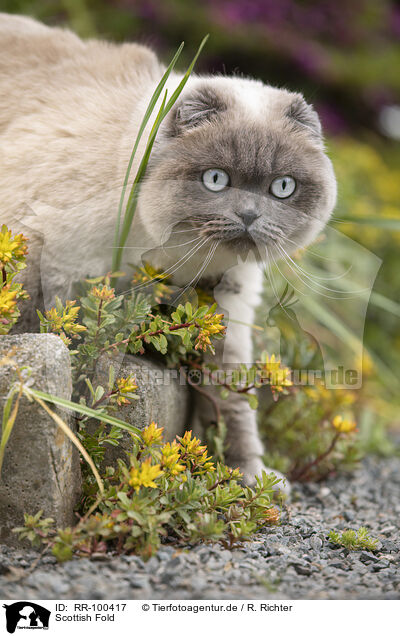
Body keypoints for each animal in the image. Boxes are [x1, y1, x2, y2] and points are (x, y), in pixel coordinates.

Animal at [0, 14, 338, 492]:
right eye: (216, 179)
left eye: (282, 187)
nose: (250, 215)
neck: (177, 260)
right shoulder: (48, 259)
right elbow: (67, 348)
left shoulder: (226, 314)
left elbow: (232, 407)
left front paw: (247, 477)